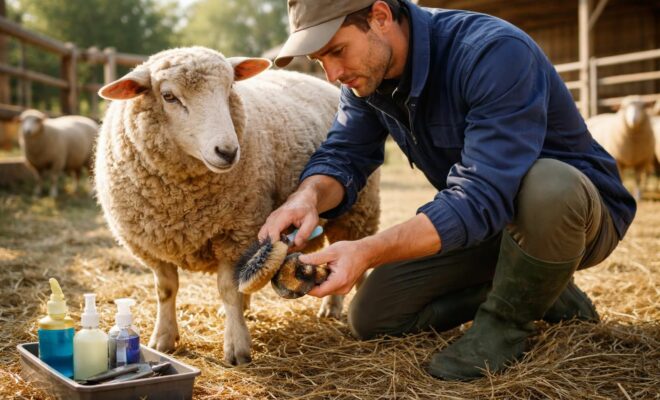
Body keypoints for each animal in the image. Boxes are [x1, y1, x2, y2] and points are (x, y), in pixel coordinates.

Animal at [94, 47, 380, 365]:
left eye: (230, 87)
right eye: (168, 96)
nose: (228, 151)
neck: (182, 202)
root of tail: (321, 82)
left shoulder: (237, 232)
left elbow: (228, 289)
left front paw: (236, 347)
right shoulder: (152, 246)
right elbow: (166, 290)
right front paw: (163, 338)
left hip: (356, 211)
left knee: (349, 256)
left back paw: (332, 306)